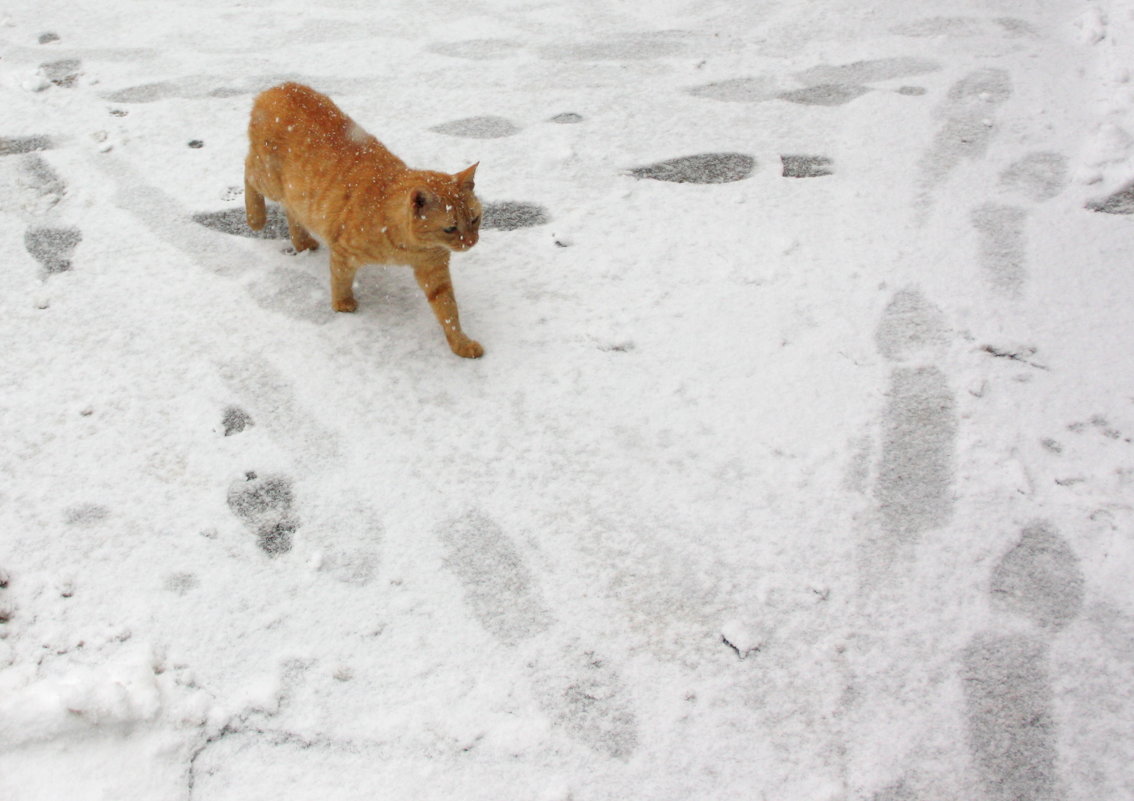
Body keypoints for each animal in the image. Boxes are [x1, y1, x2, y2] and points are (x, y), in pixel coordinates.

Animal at [243, 81, 483, 356]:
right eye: (451, 228)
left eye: (474, 220)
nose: (471, 242)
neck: (408, 247)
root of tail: (279, 87)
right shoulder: (343, 251)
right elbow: (341, 279)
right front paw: (343, 303)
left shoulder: (434, 269)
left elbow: (448, 310)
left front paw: (460, 343)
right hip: (269, 180)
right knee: (248, 171)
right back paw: (255, 218)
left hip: (295, 195)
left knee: (291, 210)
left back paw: (302, 242)